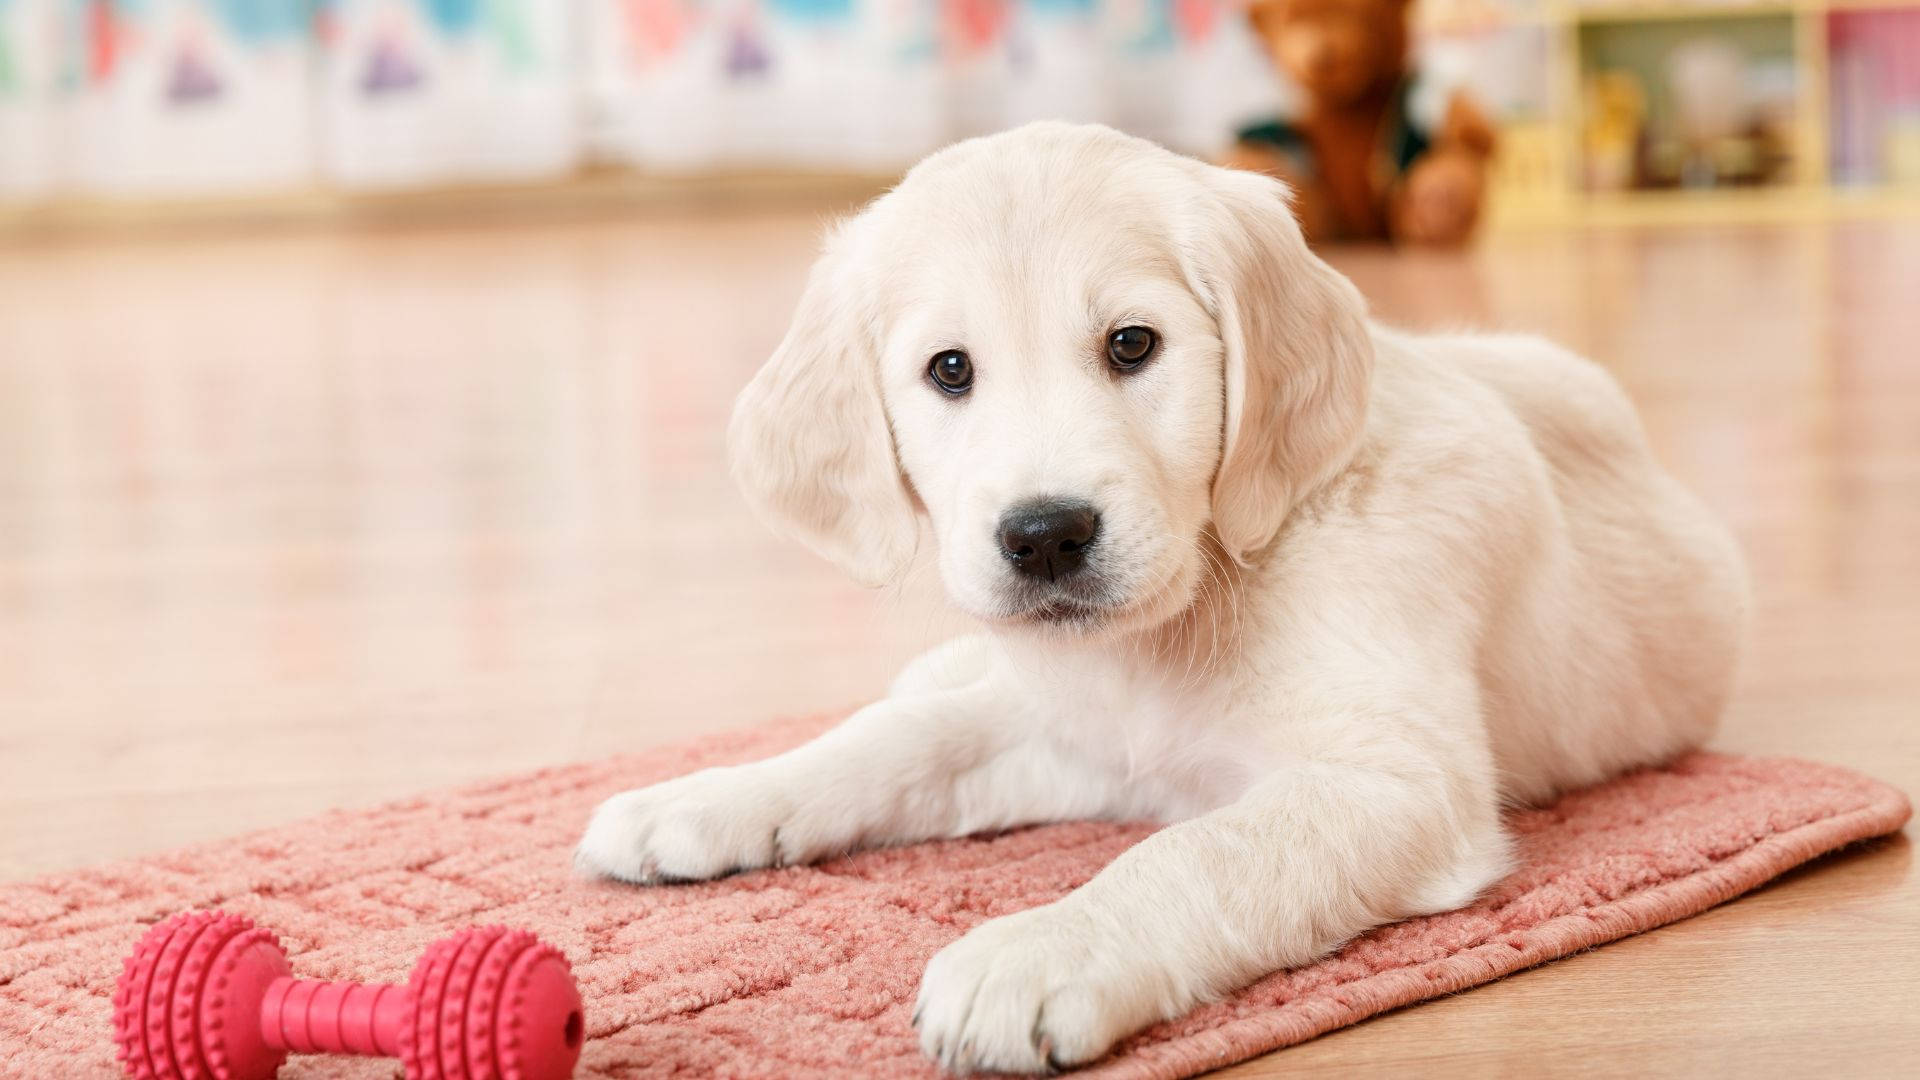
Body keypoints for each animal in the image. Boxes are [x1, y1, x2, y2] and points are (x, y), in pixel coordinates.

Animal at [572, 119, 1758, 1068]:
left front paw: (1038, 952)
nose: (1045, 537)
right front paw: (710, 798)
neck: (1200, 595)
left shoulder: (1397, 783)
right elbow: (896, 745)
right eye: (949, 370)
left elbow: (1197, 853)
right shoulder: (1073, 738)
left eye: (1132, 344)